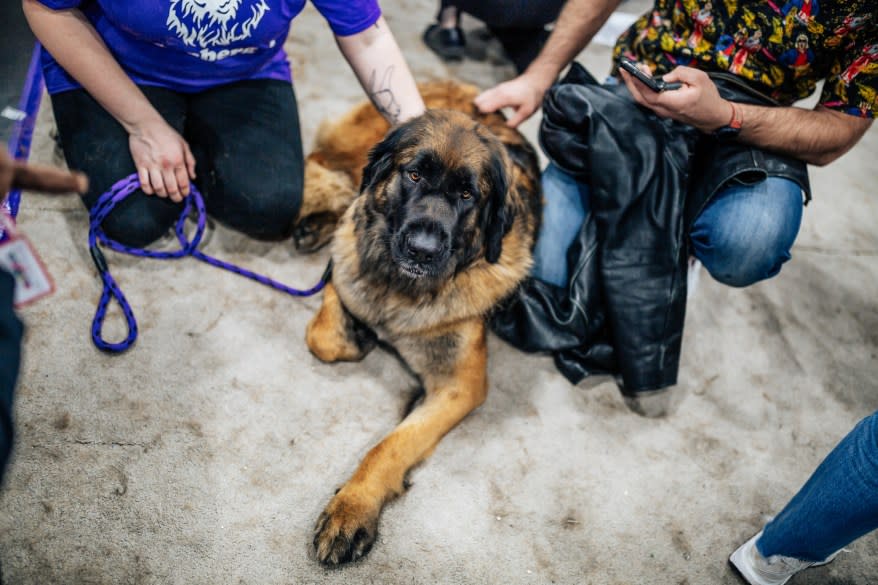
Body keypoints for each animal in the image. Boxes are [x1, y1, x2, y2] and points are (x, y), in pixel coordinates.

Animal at [300, 80, 544, 564]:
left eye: (468, 195)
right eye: (414, 176)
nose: (422, 249)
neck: (400, 290)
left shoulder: (459, 386)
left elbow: (389, 446)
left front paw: (352, 507)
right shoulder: (350, 261)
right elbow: (324, 330)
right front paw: (356, 330)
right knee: (325, 164)